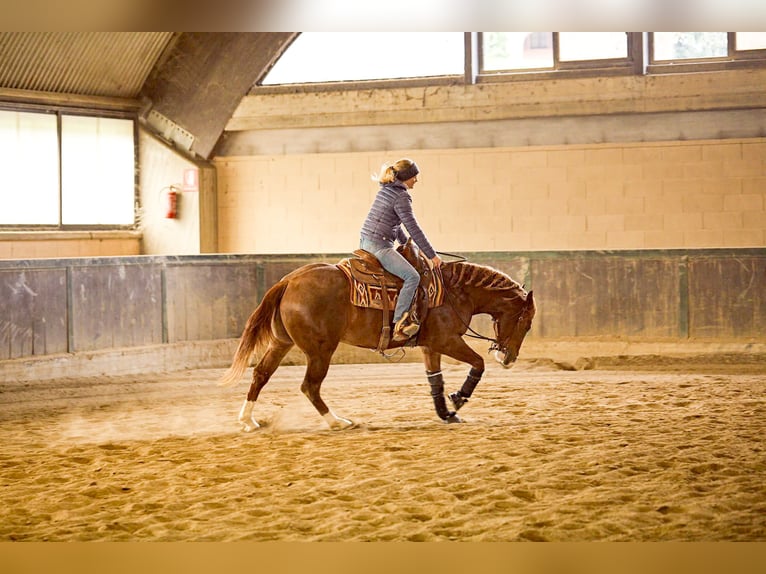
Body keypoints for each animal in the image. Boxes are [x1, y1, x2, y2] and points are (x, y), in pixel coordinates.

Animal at [219, 255, 535, 431]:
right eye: (527, 322)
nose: (509, 359)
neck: (454, 292)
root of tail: (289, 280)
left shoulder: (431, 346)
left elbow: (435, 379)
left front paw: (447, 413)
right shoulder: (448, 341)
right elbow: (478, 364)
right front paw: (458, 399)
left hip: (281, 343)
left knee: (261, 374)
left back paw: (248, 421)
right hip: (320, 350)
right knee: (310, 386)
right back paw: (337, 422)